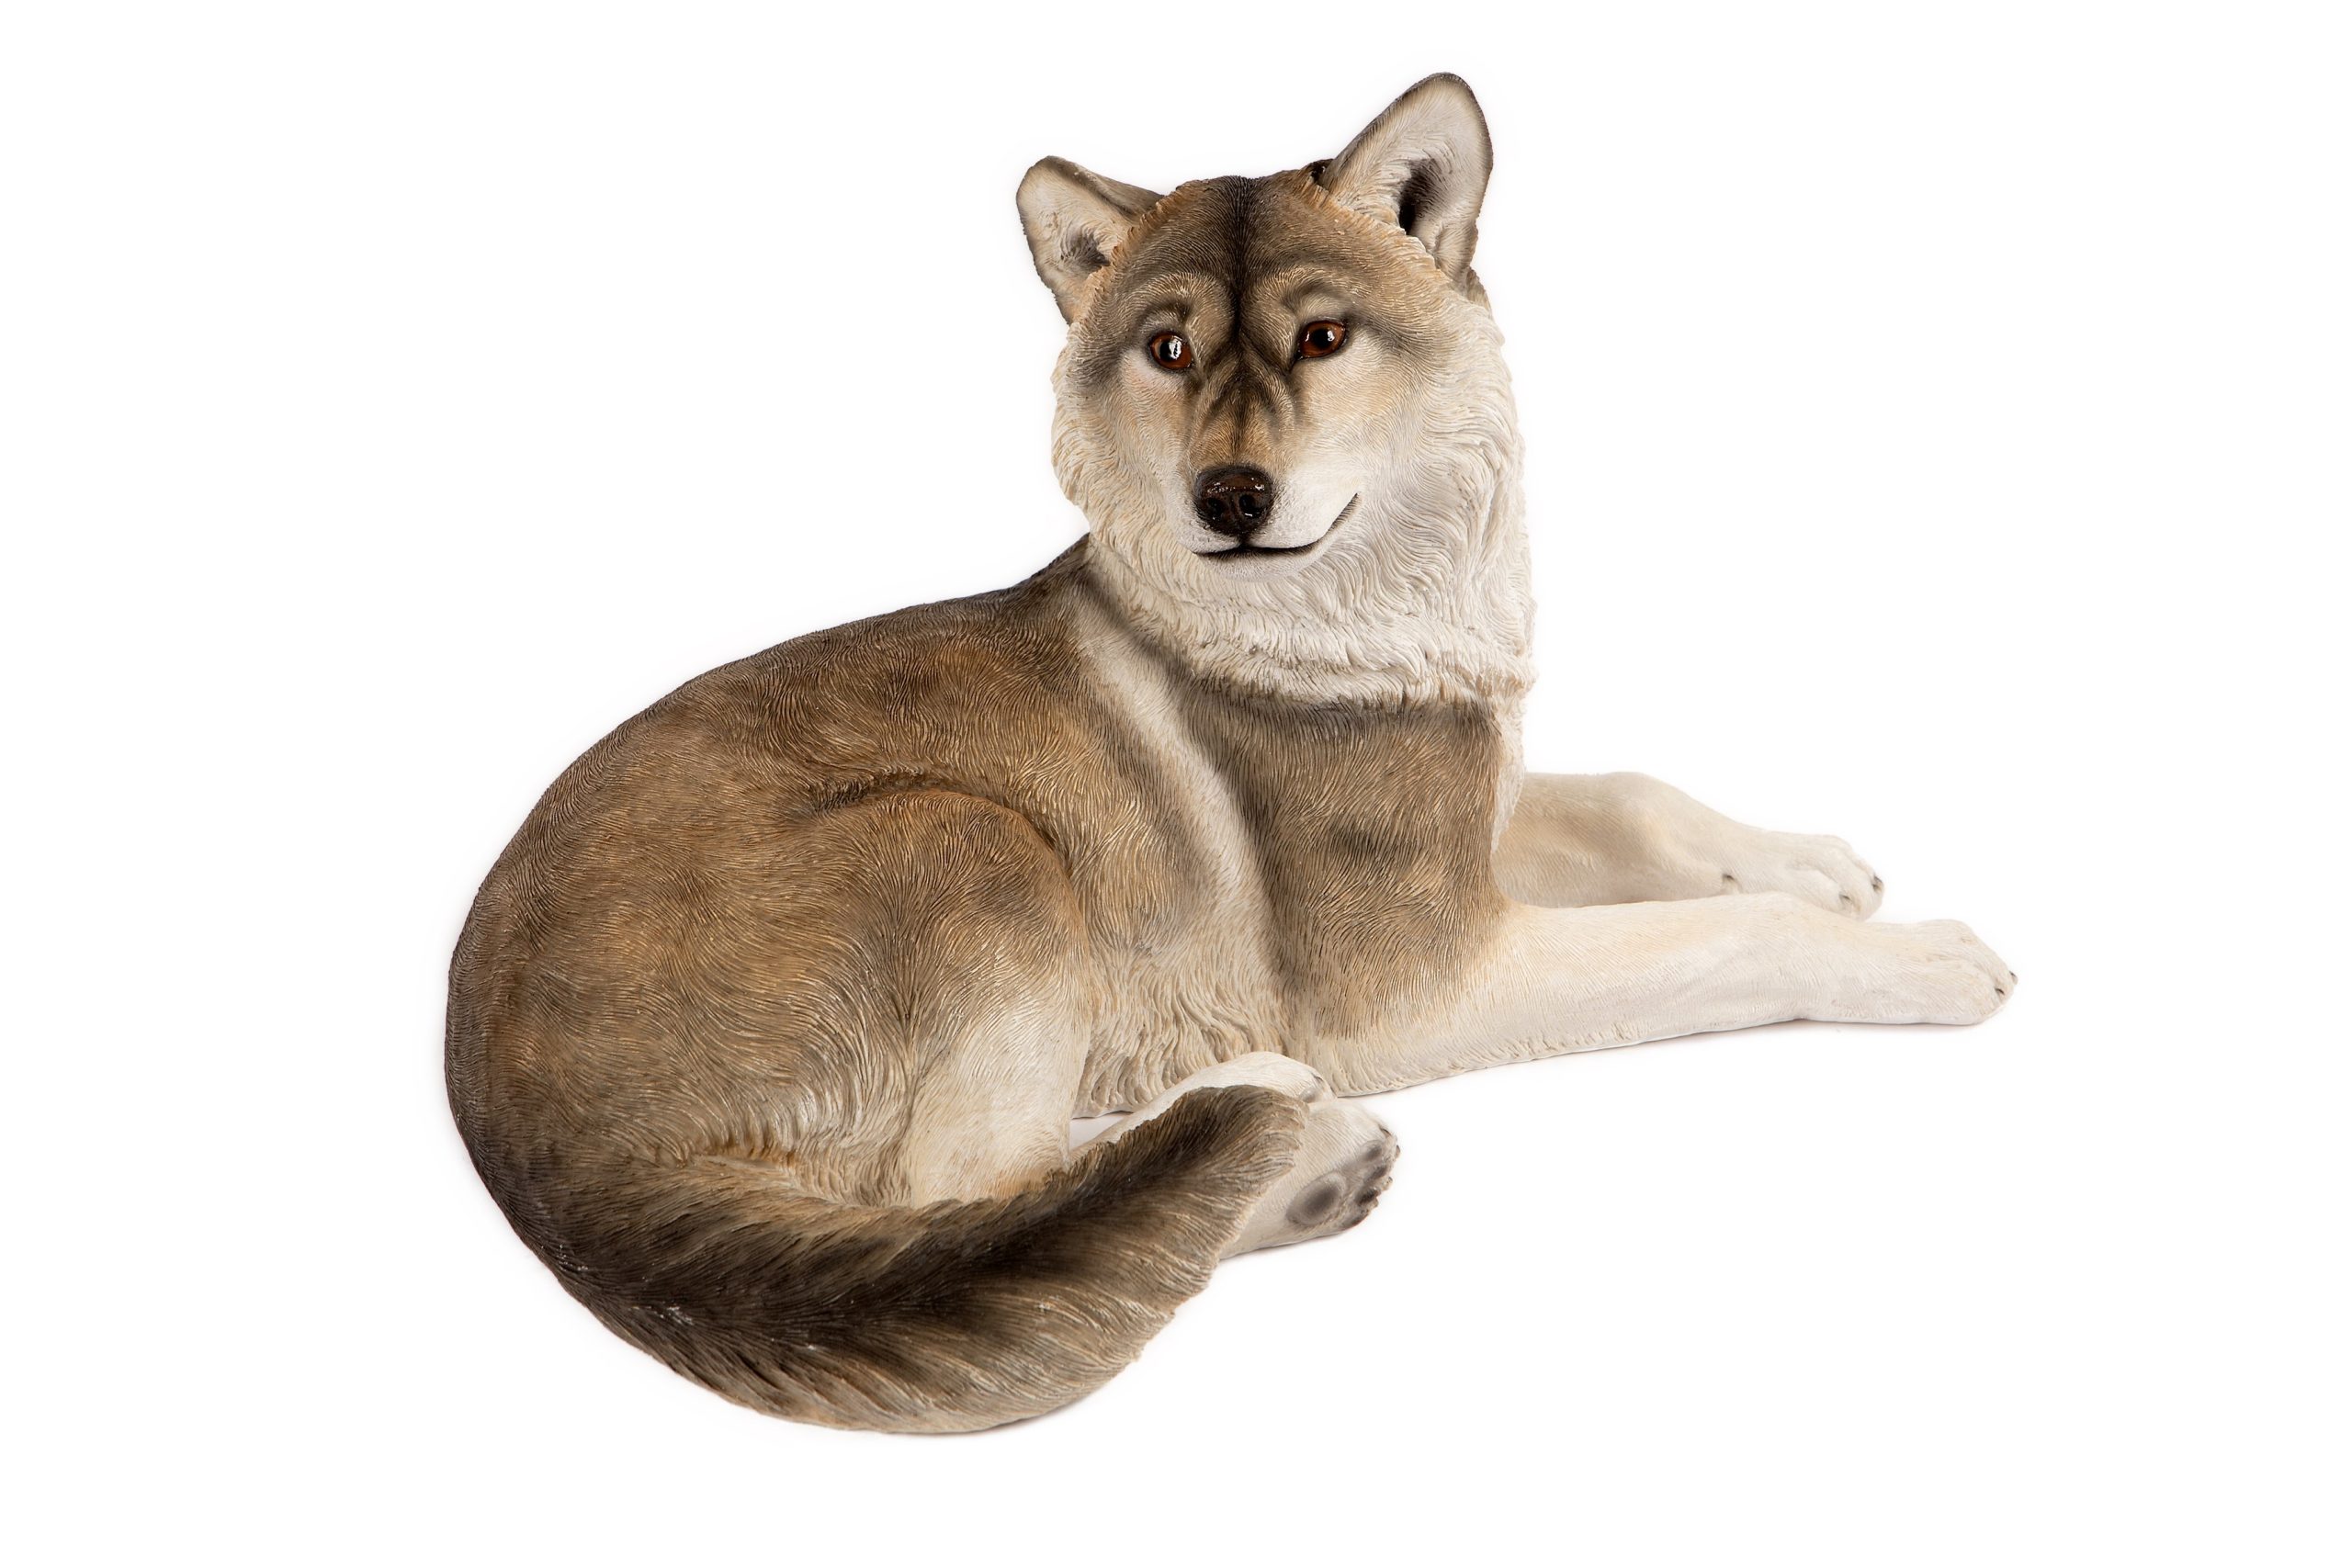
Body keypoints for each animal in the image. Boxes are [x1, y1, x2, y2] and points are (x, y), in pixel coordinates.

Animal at [446, 75, 2012, 1433]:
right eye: (1170, 350)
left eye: (1323, 340)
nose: (1233, 494)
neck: (1356, 615)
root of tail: (519, 1131)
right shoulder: (1425, 979)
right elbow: (1726, 938)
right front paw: (1925, 956)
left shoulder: (1478, 809)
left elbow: (1636, 798)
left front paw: (1811, 861)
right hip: (973, 837)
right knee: (965, 1190)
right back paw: (1287, 1149)